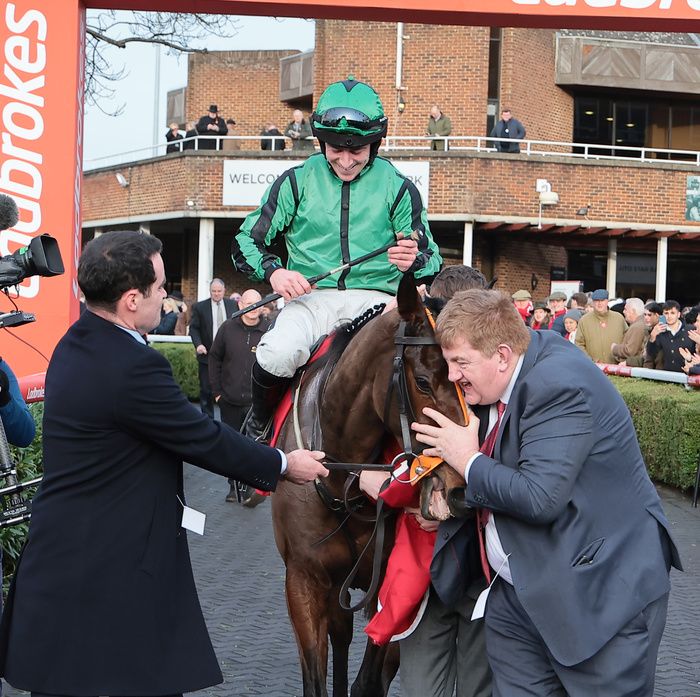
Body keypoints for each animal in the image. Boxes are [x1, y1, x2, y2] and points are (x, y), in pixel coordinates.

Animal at [270, 274, 468, 696]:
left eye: (469, 390)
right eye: (423, 382)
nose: (456, 488)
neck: (343, 479)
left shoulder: (391, 589)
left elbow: (370, 680)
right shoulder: (303, 581)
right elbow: (316, 680)